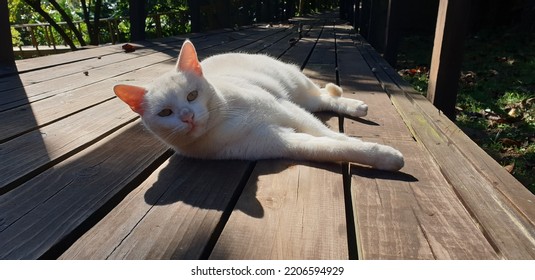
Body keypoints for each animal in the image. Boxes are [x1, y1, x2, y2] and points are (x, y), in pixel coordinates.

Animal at [115, 39, 404, 171]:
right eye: (165, 112)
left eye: (191, 95)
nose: (187, 117)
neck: (225, 122)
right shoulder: (279, 141)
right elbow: (330, 147)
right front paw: (386, 158)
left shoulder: (285, 109)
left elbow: (332, 136)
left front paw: (379, 152)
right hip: (301, 100)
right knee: (322, 100)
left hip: (297, 90)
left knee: (324, 95)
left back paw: (357, 106)